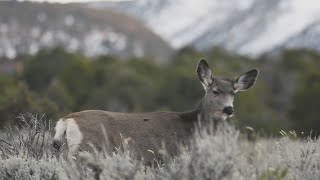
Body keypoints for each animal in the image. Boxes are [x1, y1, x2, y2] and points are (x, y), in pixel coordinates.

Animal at [52, 59, 258, 165]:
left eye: (233, 93)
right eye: (215, 91)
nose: (228, 109)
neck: (192, 128)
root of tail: (67, 120)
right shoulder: (170, 157)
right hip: (85, 148)